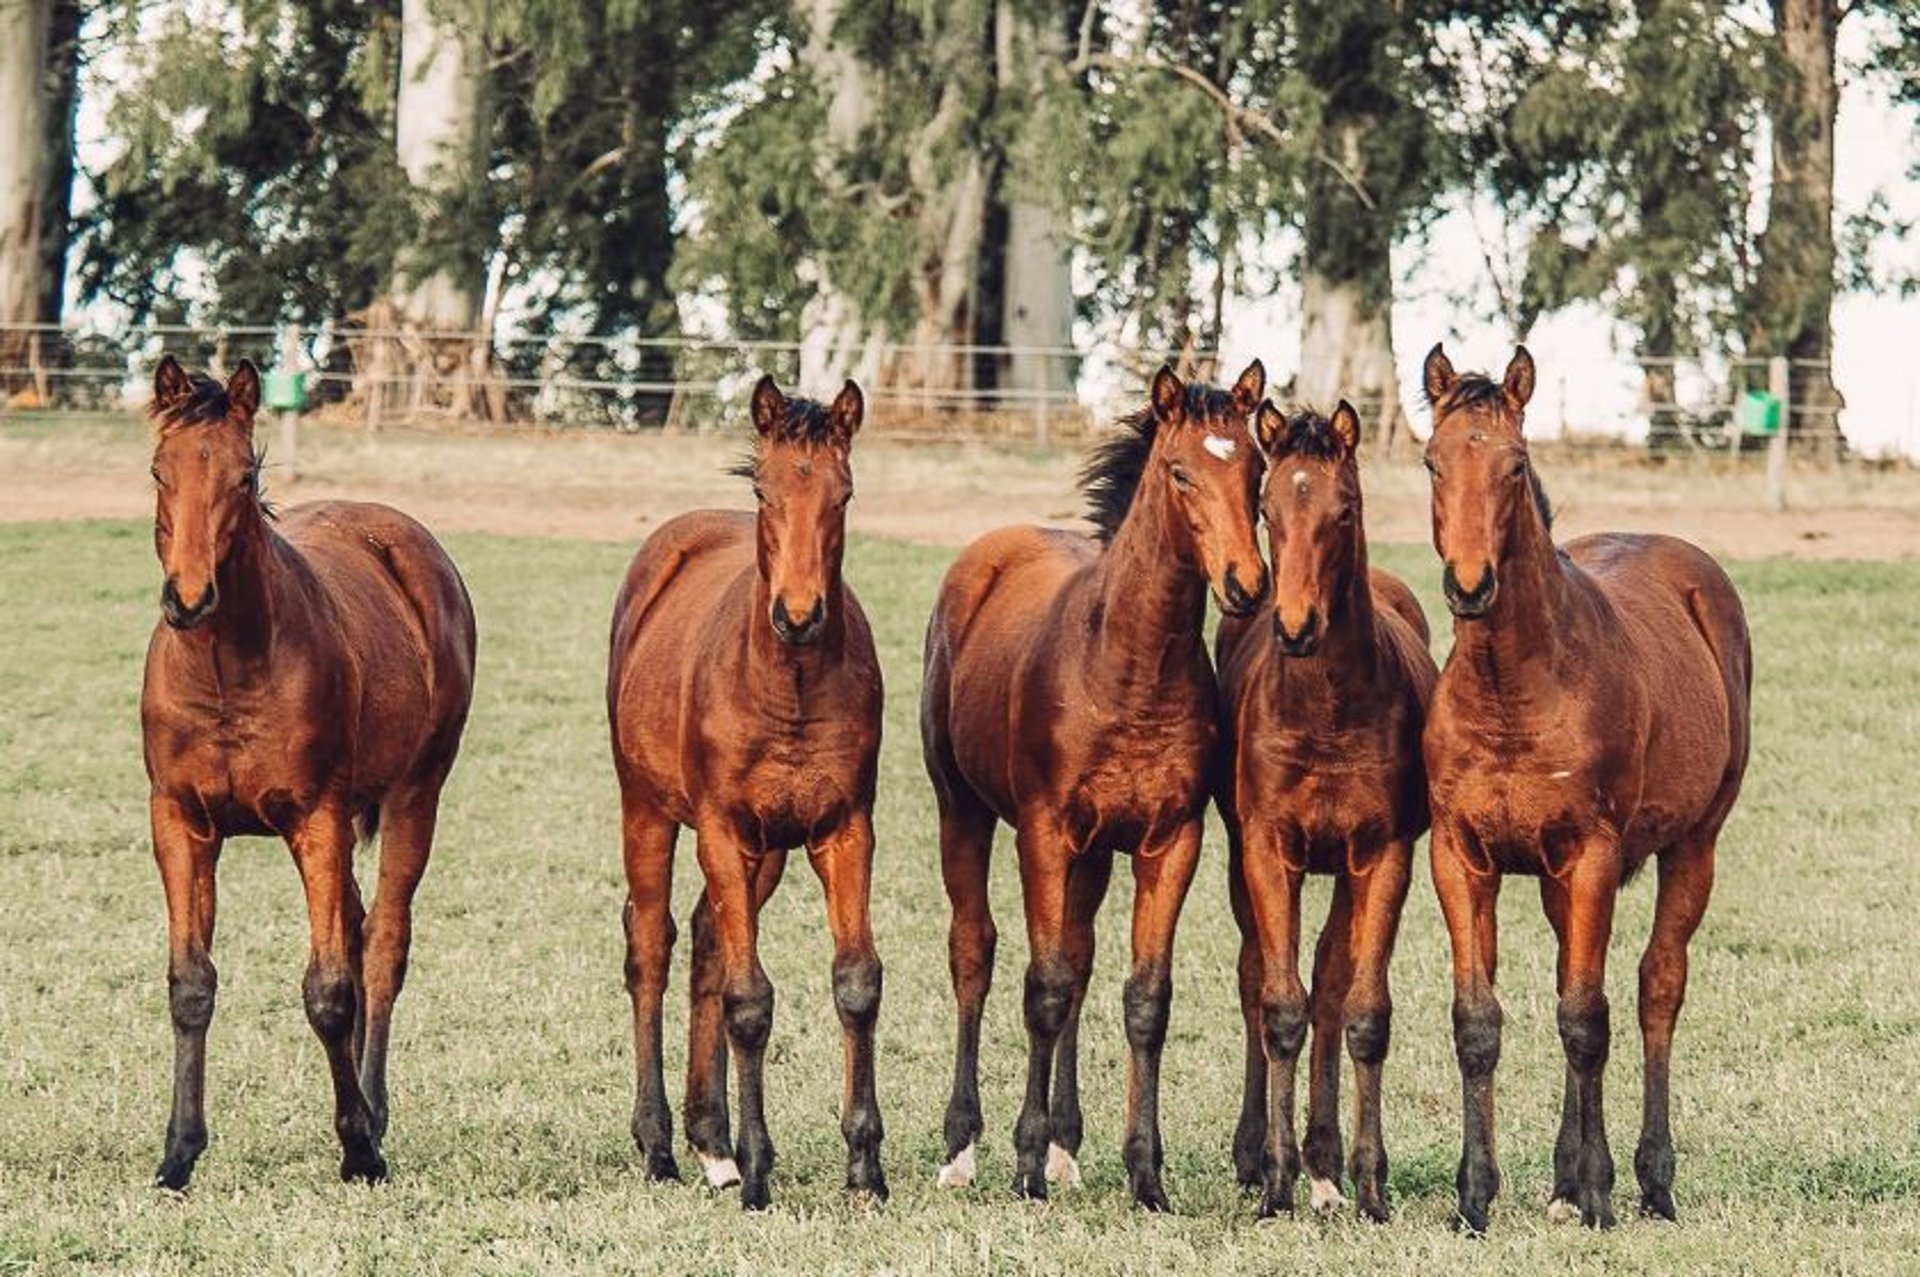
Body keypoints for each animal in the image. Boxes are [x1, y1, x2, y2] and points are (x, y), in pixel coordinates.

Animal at [140, 357, 476, 1190]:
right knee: (355, 930)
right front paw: (178, 1153)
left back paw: (374, 1110)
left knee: (381, 945)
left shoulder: (317, 820)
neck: (227, 672)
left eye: (241, 475)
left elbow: (328, 989)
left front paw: (359, 1147)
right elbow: (191, 984)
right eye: (160, 471)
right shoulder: (180, 823)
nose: (188, 598)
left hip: (416, 795)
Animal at [607, 375, 885, 1211]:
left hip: (764, 853)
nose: (798, 613)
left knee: (705, 939)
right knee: (652, 943)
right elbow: (750, 999)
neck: (787, 685)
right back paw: (661, 1143)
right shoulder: (722, 830)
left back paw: (712, 1143)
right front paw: (760, 1169)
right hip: (649, 810)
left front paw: (864, 1164)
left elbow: (855, 980)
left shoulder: (843, 829)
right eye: (766, 492)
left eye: (843, 493)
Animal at [924, 362, 1270, 1210]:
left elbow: (1142, 996)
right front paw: (1022, 1162)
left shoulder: (1168, 840)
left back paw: (1067, 1148)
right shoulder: (1044, 832)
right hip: (964, 808)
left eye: (1256, 470)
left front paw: (1145, 1173)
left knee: (1079, 958)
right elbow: (1042, 985)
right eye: (1180, 472)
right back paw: (962, 1149)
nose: (1246, 583)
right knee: (975, 950)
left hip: (1094, 854)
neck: (1126, 666)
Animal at [1214, 400, 1437, 1222]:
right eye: (1267, 508)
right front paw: (1275, 1181)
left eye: (1344, 510)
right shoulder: (1266, 849)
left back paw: (1326, 1162)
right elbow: (1280, 1006)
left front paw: (1368, 1183)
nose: (1296, 626)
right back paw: (1262, 1158)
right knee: (1260, 978)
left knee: (1332, 984)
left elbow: (1362, 1010)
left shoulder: (1382, 854)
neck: (1328, 709)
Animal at [1419, 344, 1751, 1232]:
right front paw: (1475, 1197)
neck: (1514, 690)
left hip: (1694, 845)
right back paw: (1564, 1181)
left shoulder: (1595, 855)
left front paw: (1601, 1190)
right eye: (1433, 461)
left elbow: (1585, 1017)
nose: (1471, 584)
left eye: (1514, 462)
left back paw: (1650, 1181)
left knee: (1655, 987)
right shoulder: (1460, 856)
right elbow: (1479, 1020)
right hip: (1552, 878)